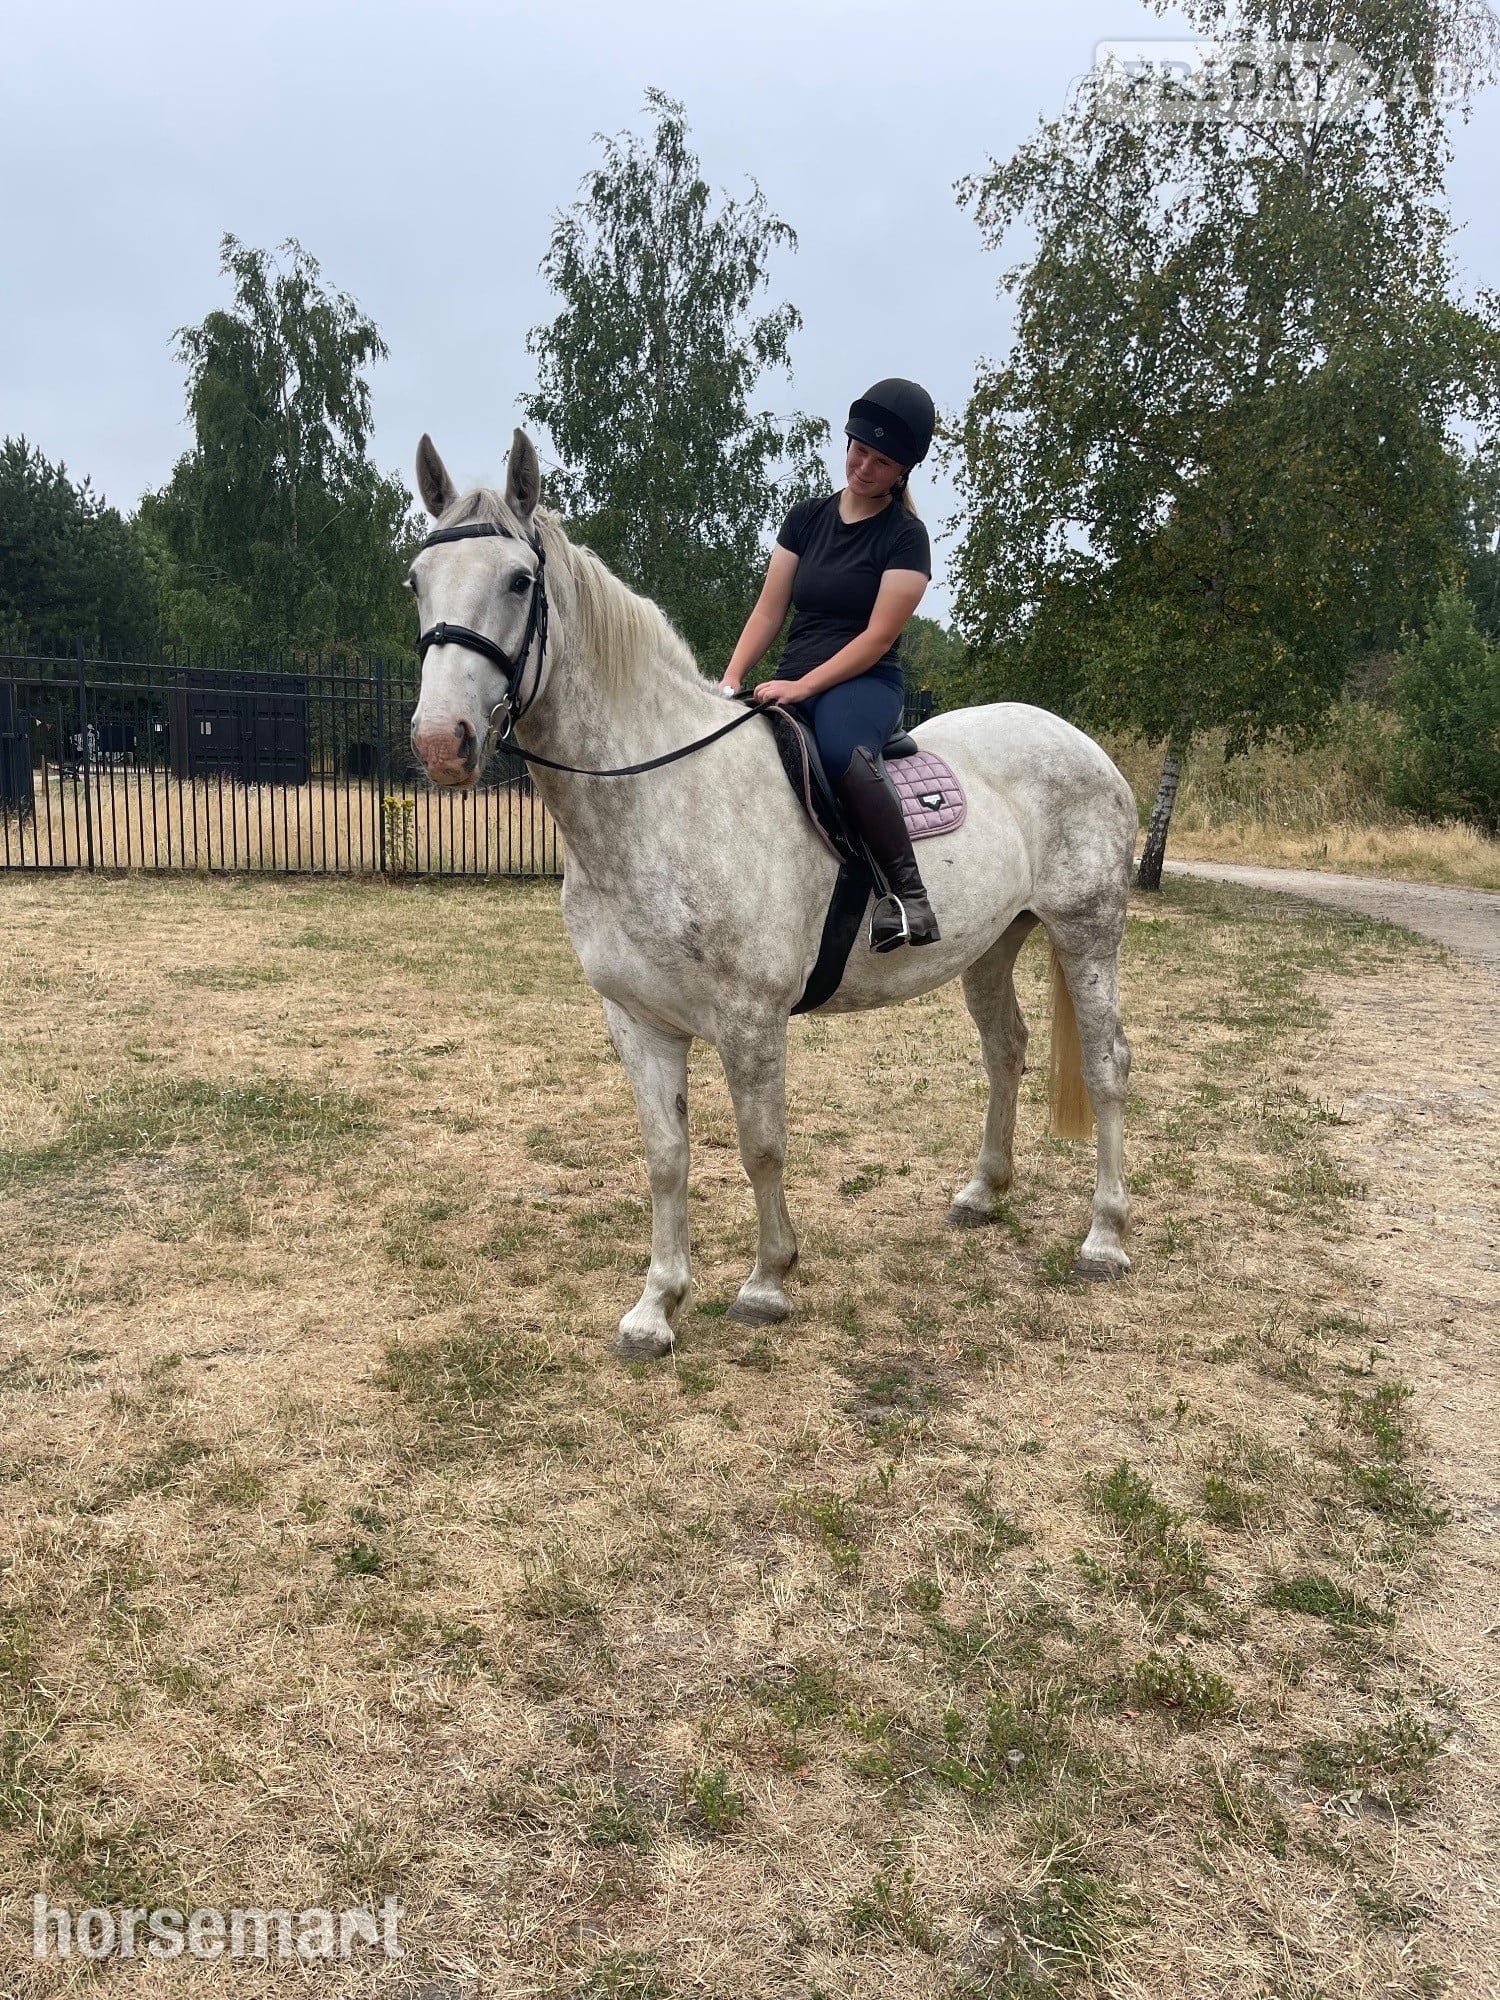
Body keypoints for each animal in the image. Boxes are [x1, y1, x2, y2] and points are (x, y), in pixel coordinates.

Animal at [407, 430, 1137, 1358]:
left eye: (518, 581)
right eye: (416, 581)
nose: (442, 743)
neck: (661, 797)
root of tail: (1081, 742)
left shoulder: (750, 1020)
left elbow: (760, 1147)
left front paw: (766, 1281)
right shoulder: (637, 1019)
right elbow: (666, 1155)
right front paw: (656, 1307)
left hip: (1086, 933)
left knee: (1108, 1066)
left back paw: (1105, 1237)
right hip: (994, 943)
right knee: (1005, 1048)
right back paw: (982, 1193)